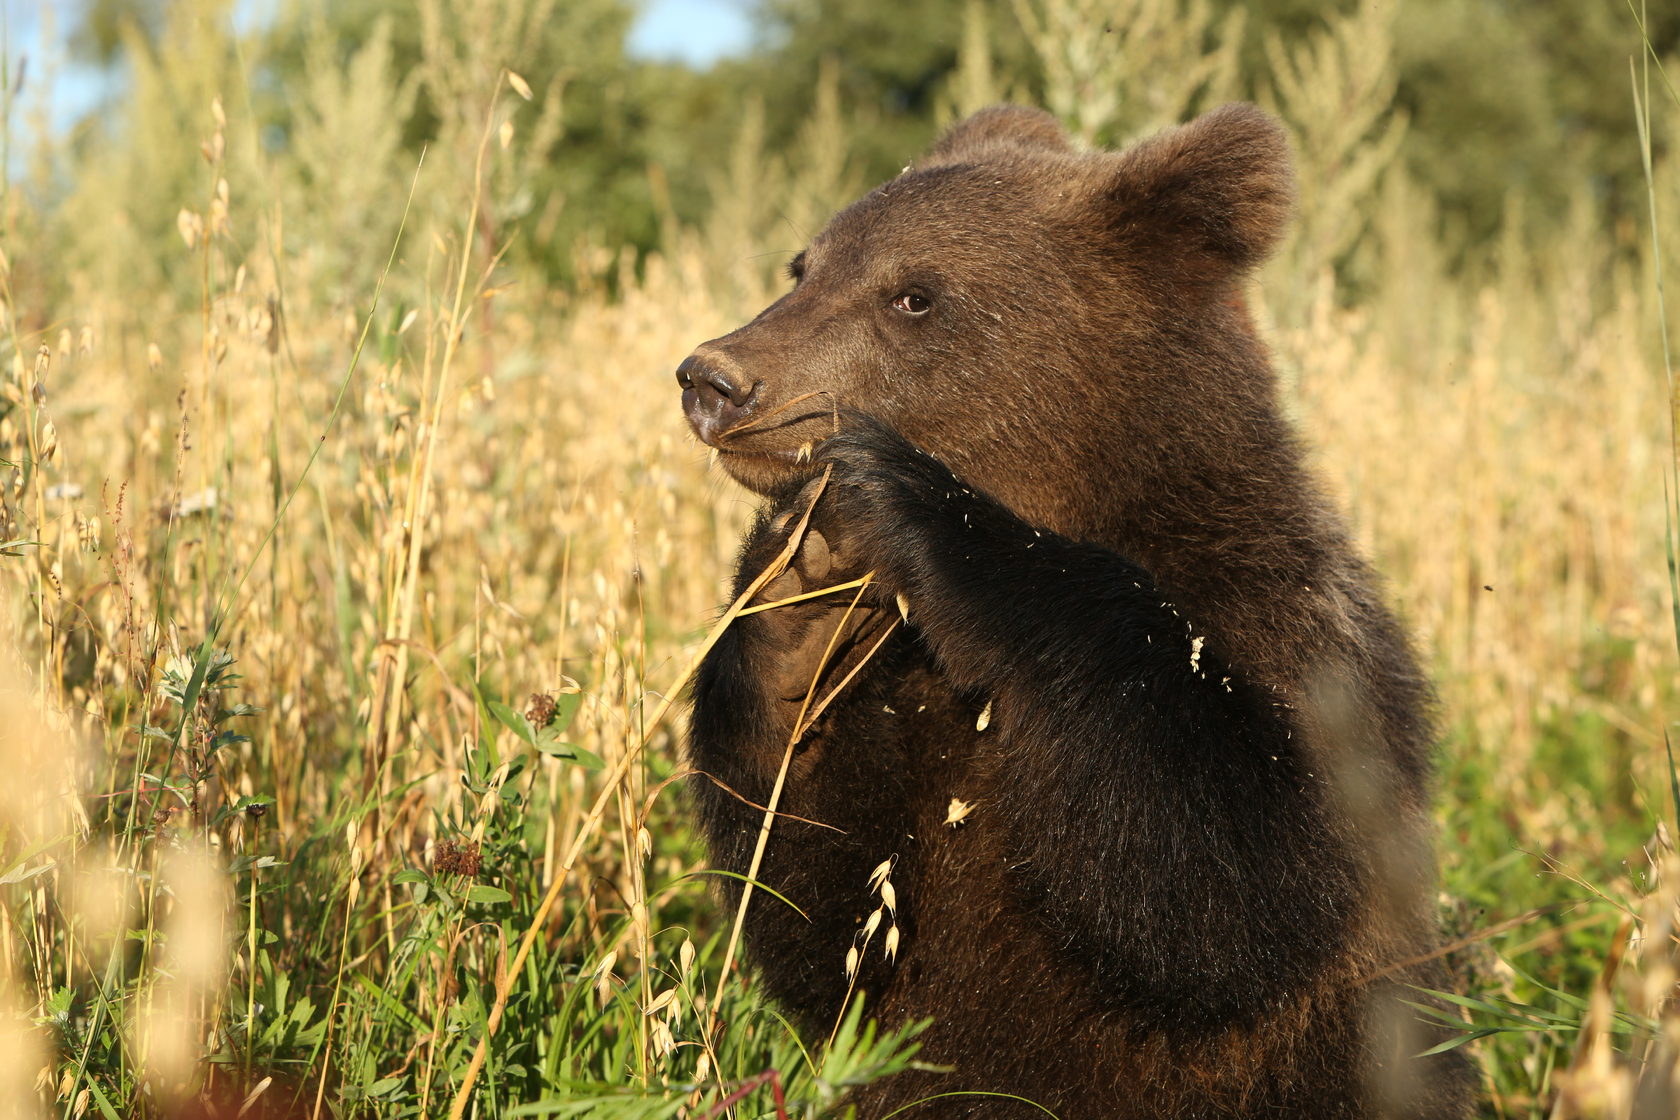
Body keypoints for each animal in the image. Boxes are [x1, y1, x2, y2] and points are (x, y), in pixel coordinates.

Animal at [675, 100, 1478, 1114]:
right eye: (804, 265)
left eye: (913, 296)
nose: (714, 378)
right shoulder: (912, 731)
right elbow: (832, 915)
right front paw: (798, 603)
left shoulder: (1287, 633)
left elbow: (1231, 884)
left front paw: (903, 497)